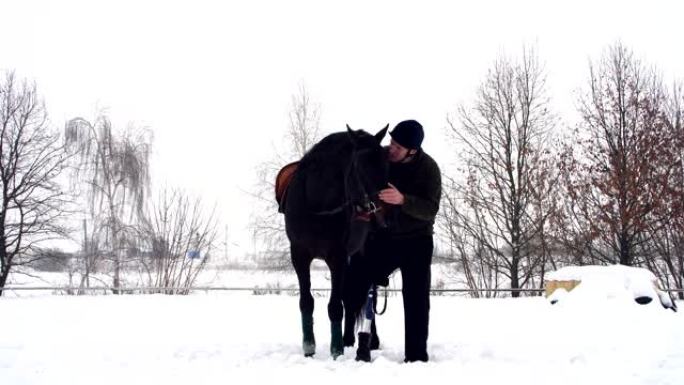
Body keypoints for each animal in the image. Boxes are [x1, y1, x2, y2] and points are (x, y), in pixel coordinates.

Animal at [276, 125, 388, 356]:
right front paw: (309, 347)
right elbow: (306, 302)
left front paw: (336, 350)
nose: (381, 214)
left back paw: (369, 341)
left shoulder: (337, 257)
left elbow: (336, 306)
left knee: (367, 297)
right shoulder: (299, 255)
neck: (318, 206)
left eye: (385, 163)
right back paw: (348, 339)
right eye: (361, 166)